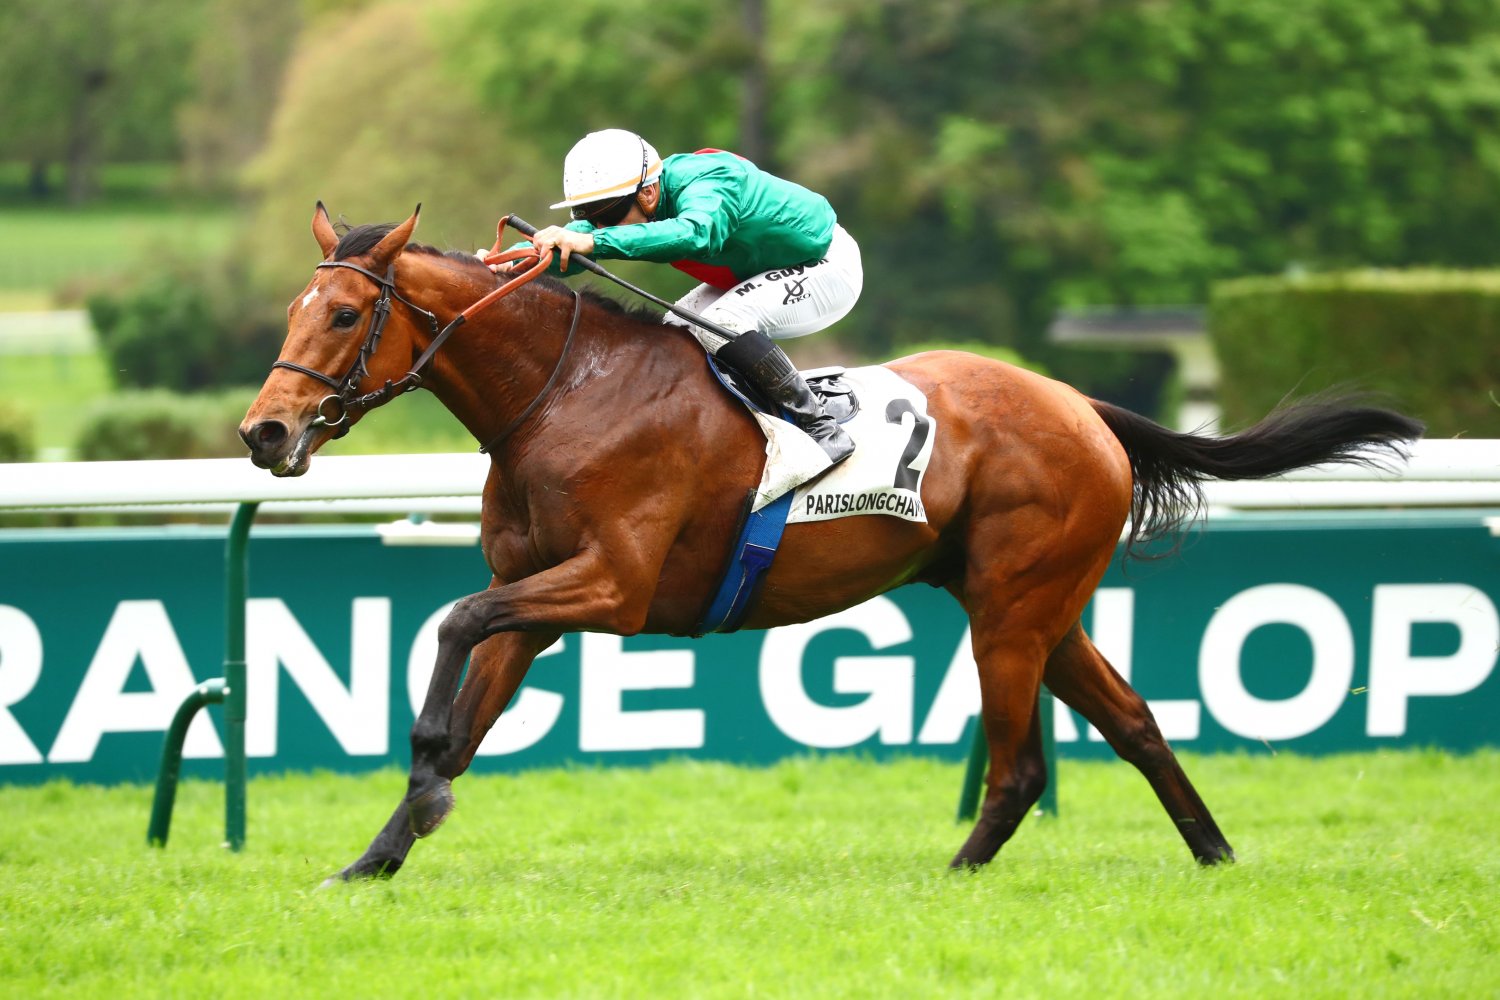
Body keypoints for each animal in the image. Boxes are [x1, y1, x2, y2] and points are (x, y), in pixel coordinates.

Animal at [240, 204, 1422, 884]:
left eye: (342, 316)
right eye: (294, 308)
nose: (265, 433)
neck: (564, 391)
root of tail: (1082, 404)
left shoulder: (611, 587)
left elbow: (452, 624)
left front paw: (421, 788)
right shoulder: (537, 592)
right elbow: (469, 696)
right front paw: (379, 851)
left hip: (1011, 609)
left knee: (1019, 764)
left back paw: (959, 872)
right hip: (1039, 605)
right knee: (1133, 721)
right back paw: (1215, 854)